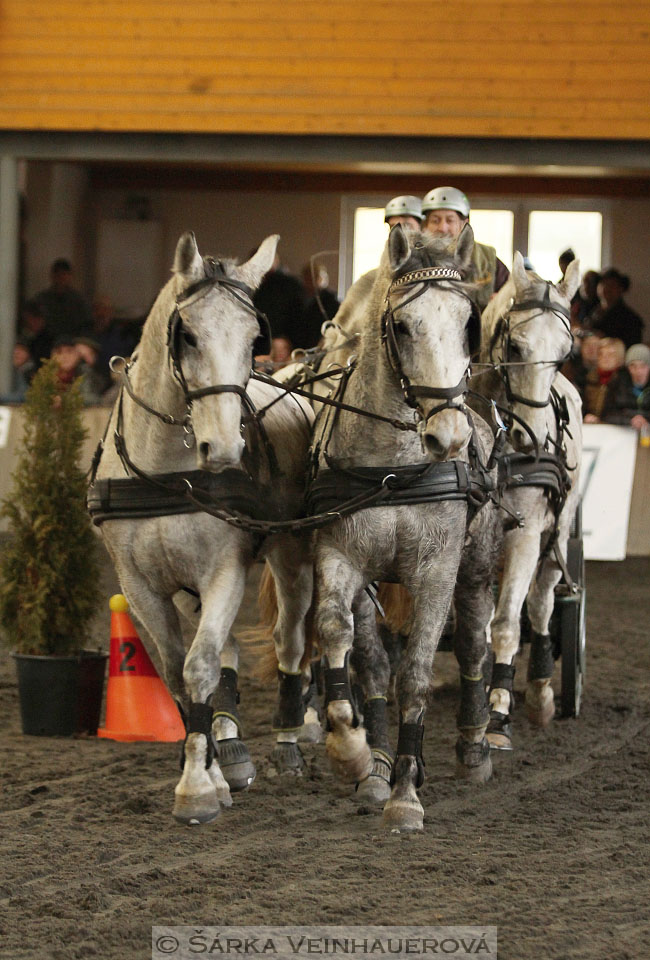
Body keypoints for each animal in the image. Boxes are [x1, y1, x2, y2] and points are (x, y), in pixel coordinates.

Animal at [90, 234, 314, 824]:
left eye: (254, 337)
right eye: (187, 335)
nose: (226, 449)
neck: (169, 471)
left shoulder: (224, 570)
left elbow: (201, 665)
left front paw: (196, 787)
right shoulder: (139, 585)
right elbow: (177, 673)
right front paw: (209, 769)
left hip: (291, 554)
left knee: (292, 642)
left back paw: (293, 739)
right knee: (231, 652)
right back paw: (232, 751)